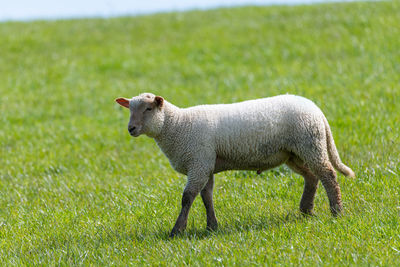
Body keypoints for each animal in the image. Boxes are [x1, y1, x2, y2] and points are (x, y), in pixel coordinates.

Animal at [115, 93, 354, 238]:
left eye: (148, 109)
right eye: (130, 109)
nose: (131, 128)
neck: (177, 125)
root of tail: (315, 109)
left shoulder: (198, 163)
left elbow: (188, 197)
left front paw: (177, 230)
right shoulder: (205, 164)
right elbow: (206, 196)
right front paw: (211, 226)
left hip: (310, 143)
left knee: (328, 175)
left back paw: (336, 212)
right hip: (293, 153)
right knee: (312, 177)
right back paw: (306, 211)